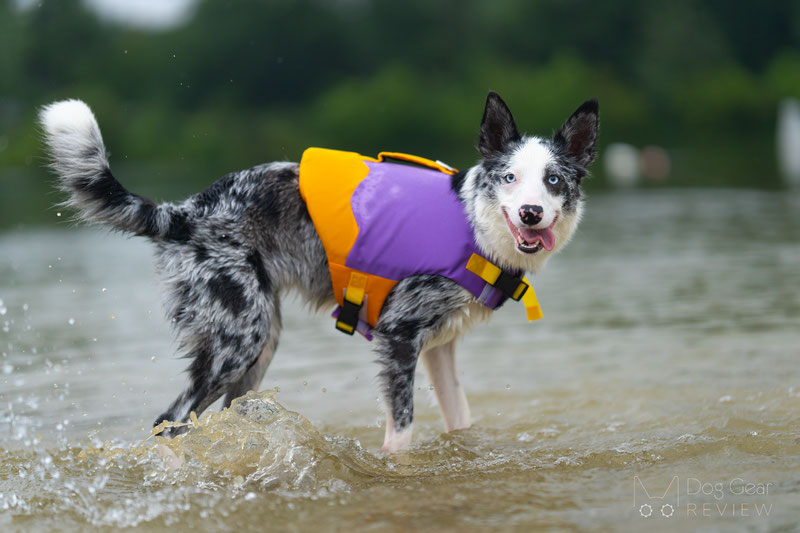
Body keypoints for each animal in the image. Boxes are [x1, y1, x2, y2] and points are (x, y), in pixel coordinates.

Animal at [39, 91, 600, 448]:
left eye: (554, 180)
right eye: (509, 178)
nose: (531, 213)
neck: (474, 225)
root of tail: (186, 211)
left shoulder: (440, 349)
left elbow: (461, 422)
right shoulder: (399, 337)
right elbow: (401, 434)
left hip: (258, 346)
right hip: (238, 340)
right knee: (171, 419)